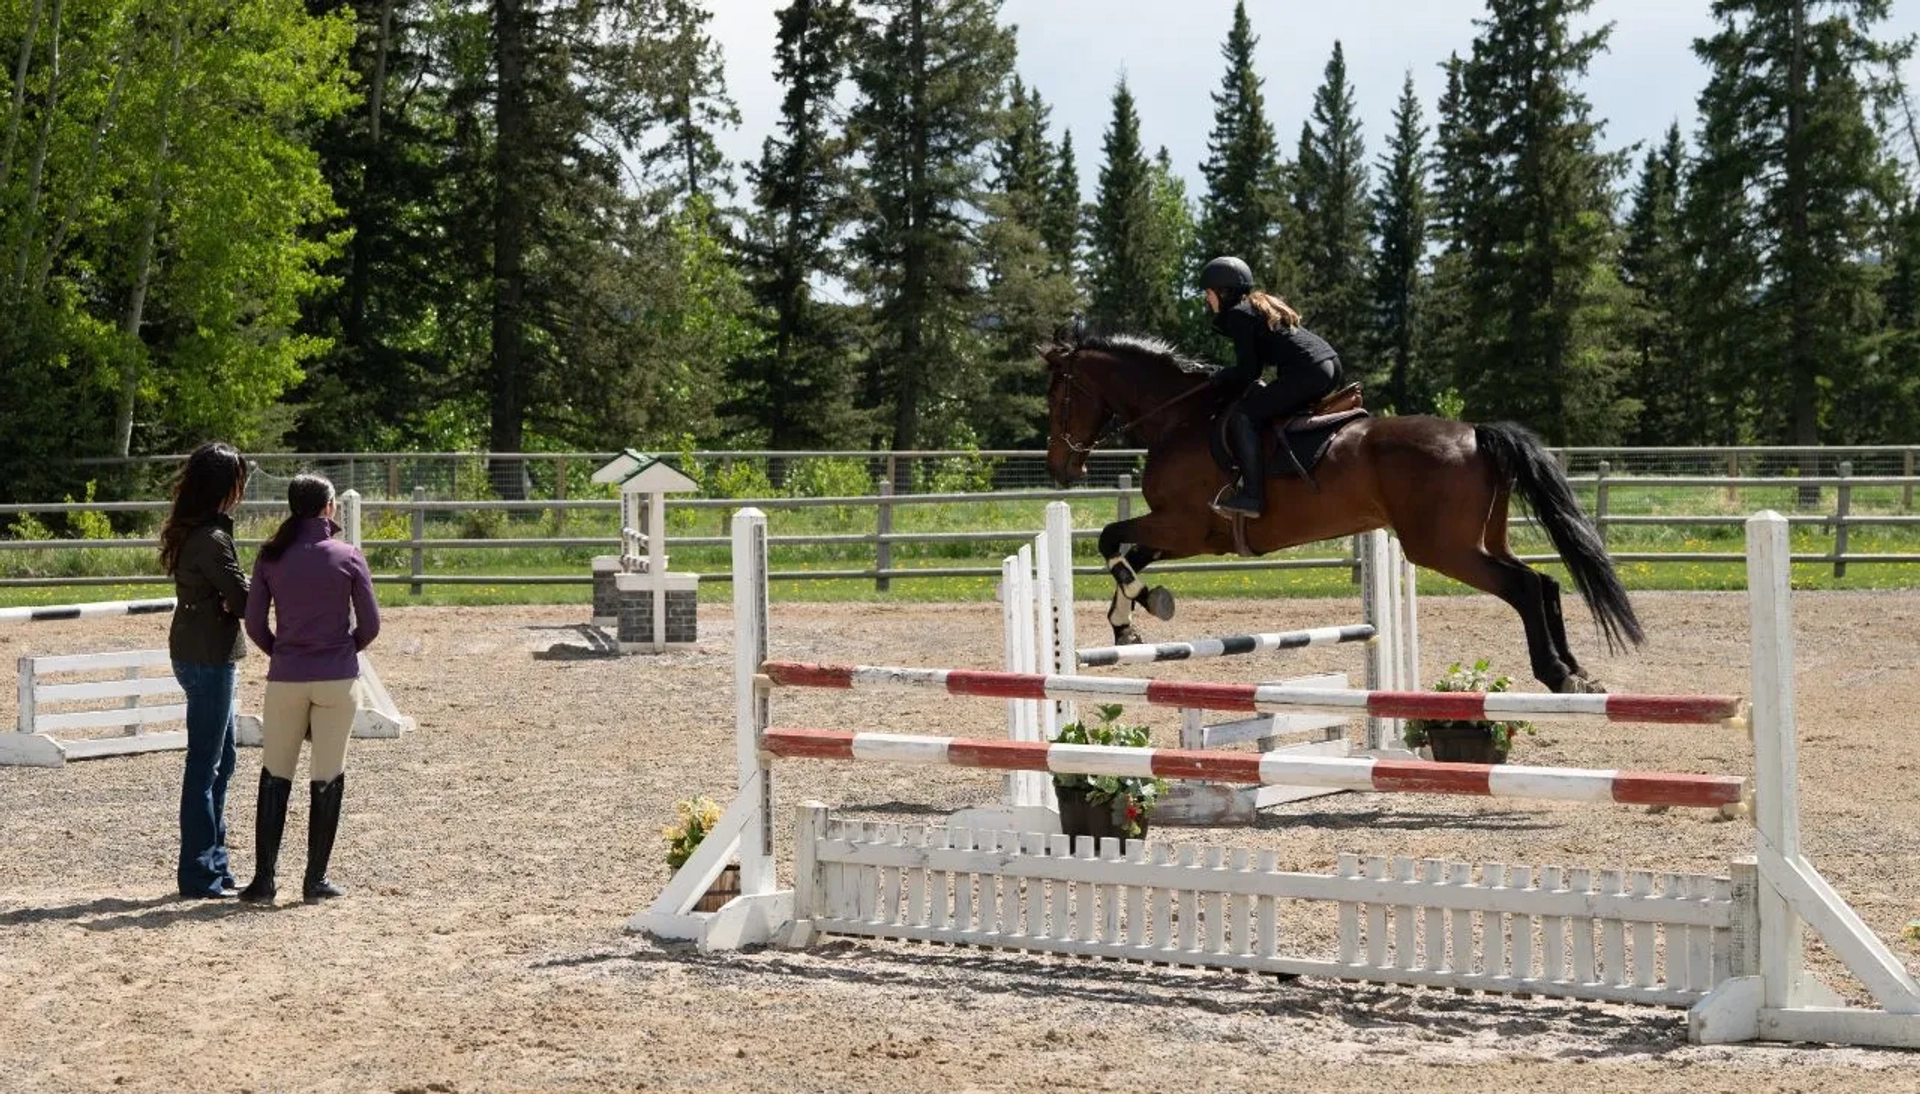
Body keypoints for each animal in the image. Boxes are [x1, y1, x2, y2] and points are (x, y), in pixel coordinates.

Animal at [1044, 328, 1643, 694]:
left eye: (1057, 396)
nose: (1059, 467)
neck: (1180, 418)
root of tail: (1477, 432)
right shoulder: (1188, 534)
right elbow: (1130, 553)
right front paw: (1125, 625)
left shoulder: (1185, 525)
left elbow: (1111, 540)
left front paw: (1149, 604)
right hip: (1482, 540)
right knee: (1544, 582)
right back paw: (1578, 671)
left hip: (1444, 549)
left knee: (1523, 587)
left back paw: (1557, 674)